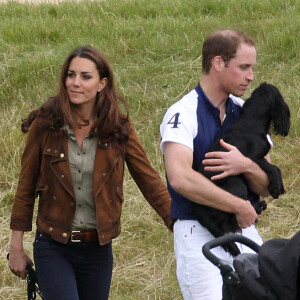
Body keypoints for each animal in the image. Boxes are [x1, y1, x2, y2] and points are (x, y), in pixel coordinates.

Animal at [192, 83, 290, 256]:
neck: (252, 120)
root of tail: (199, 209)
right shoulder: (251, 158)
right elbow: (273, 168)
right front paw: (277, 187)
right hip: (236, 184)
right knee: (231, 220)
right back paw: (257, 207)